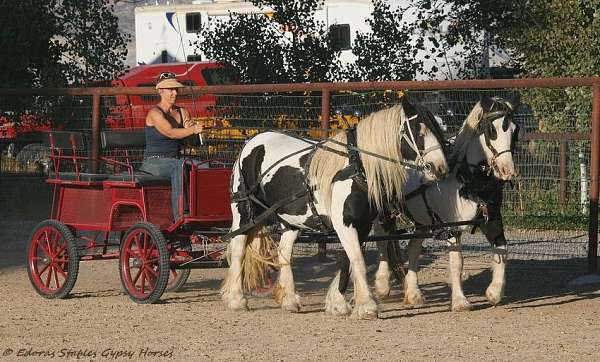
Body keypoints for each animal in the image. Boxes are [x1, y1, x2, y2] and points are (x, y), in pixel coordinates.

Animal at [223, 95, 448, 320]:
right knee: (238, 248)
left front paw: (337, 302)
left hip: (291, 220)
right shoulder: (344, 224)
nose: (440, 168)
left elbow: (347, 261)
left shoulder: (362, 225)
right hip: (244, 211)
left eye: (438, 130)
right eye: (419, 131)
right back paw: (236, 299)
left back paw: (289, 299)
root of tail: (253, 141)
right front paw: (366, 305)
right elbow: (357, 260)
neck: (357, 167)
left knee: (284, 251)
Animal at [336, 95, 524, 312]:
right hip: (383, 213)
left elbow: (503, 250)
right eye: (491, 130)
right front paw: (460, 301)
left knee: (412, 247)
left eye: (515, 130)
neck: (468, 180)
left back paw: (413, 293)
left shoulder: (492, 219)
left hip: (423, 220)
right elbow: (457, 262)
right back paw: (382, 284)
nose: (507, 171)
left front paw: (494, 292)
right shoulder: (452, 227)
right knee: (384, 240)